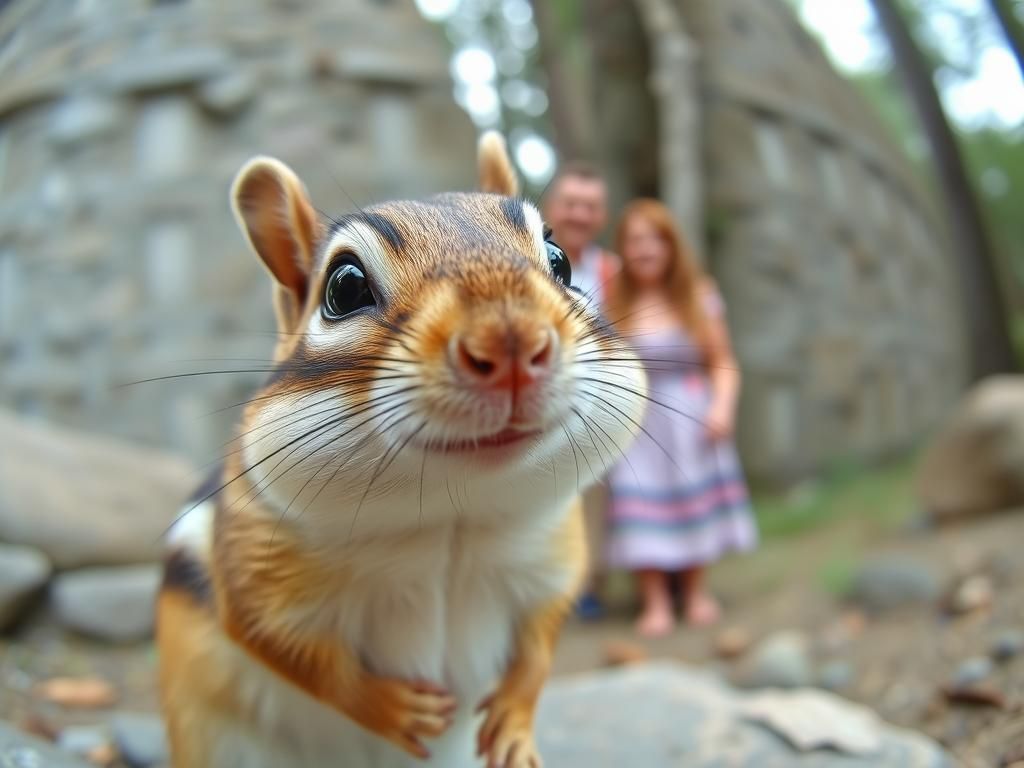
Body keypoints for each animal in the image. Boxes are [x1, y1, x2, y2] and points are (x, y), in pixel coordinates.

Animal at [156, 132, 647, 768]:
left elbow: (542, 640)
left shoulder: (555, 560)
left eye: (560, 260)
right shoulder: (249, 570)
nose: (511, 344)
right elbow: (292, 651)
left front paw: (514, 723)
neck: (450, 524)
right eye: (343, 287)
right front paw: (393, 708)